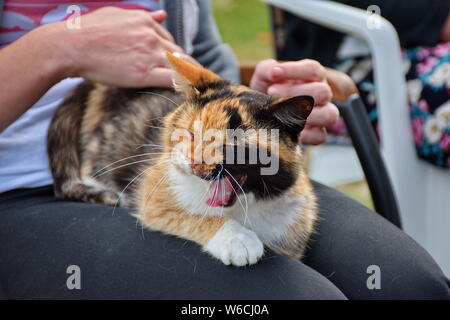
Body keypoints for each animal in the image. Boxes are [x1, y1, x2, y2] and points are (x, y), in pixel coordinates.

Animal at [48, 52, 316, 266]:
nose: (194, 163)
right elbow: (186, 215)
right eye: (189, 133)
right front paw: (237, 240)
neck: (243, 207)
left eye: (230, 144)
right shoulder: (154, 194)